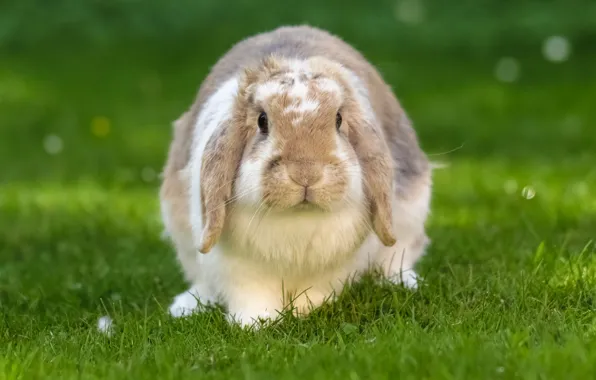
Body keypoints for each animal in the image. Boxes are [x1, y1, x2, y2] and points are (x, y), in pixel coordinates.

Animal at [157, 24, 434, 326]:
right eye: (262, 121)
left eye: (338, 119)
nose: (305, 173)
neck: (297, 220)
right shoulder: (241, 271)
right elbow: (251, 298)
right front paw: (253, 324)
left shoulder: (331, 269)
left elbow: (314, 293)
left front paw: (304, 313)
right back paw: (185, 306)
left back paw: (405, 283)